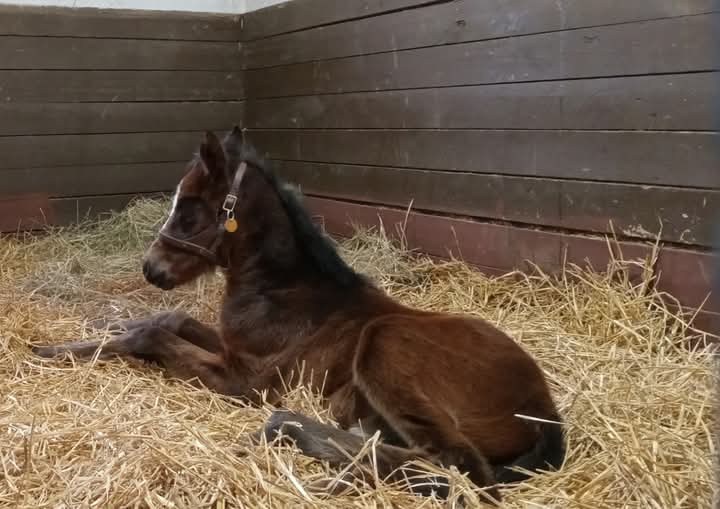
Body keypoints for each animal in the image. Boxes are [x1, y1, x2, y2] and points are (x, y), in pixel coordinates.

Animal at [32, 127, 565, 503]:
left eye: (189, 210)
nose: (151, 268)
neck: (284, 290)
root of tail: (545, 412)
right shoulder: (231, 349)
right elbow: (170, 320)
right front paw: (97, 327)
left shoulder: (245, 380)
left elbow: (153, 336)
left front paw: (54, 348)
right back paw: (298, 431)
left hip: (385, 341)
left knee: (460, 467)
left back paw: (303, 446)